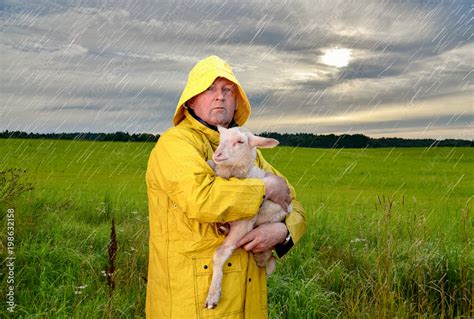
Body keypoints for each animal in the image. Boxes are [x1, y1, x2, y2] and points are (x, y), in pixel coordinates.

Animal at [206, 125, 290, 310]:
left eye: (240, 141)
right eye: (220, 139)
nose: (217, 155)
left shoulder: (243, 225)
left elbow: (220, 253)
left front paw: (213, 295)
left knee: (269, 258)